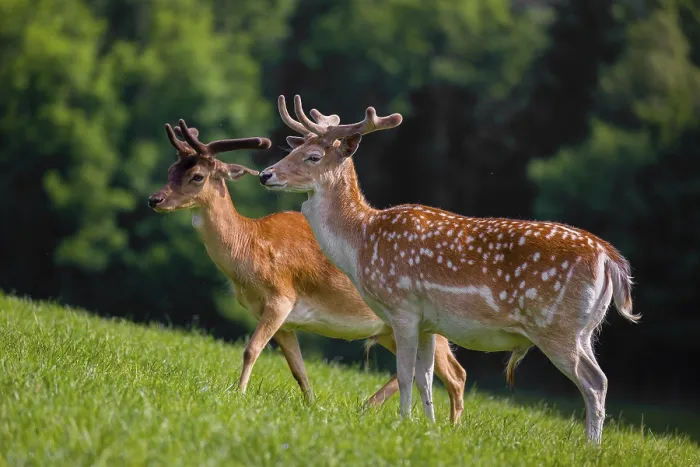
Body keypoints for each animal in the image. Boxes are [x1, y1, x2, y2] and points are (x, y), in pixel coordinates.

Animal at [147, 119, 467, 423]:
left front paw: (237, 393)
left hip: (429, 321)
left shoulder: (281, 297)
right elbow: (298, 369)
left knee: (455, 374)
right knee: (427, 371)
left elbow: (251, 349)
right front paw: (312, 404)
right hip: (391, 328)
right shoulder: (285, 321)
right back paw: (369, 407)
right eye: (171, 169)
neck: (249, 247)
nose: (154, 199)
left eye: (197, 176)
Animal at [259, 94, 640, 444]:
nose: (265, 174)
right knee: (599, 378)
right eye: (294, 148)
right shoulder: (429, 323)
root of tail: (610, 258)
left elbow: (406, 373)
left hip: (557, 326)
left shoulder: (402, 307)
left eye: (313, 156)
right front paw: (428, 427)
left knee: (594, 382)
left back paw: (592, 447)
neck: (362, 242)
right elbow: (426, 378)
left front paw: (404, 422)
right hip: (584, 329)